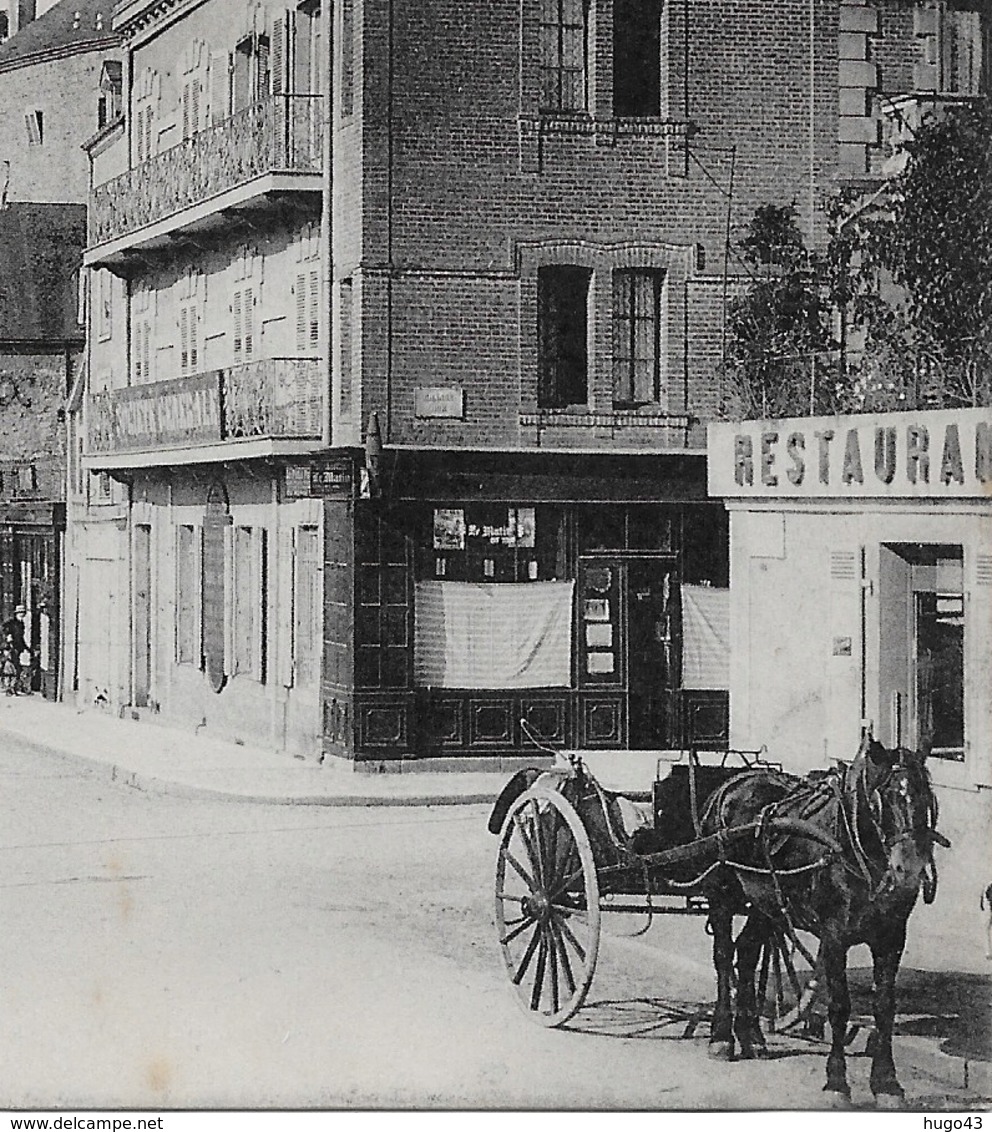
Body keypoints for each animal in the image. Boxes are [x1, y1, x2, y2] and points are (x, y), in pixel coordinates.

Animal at [697, 729, 946, 1109]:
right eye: (883, 798)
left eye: (927, 797)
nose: (909, 869)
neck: (851, 846)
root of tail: (734, 782)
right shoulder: (834, 935)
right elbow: (840, 1007)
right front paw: (837, 1082)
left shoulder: (892, 937)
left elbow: (885, 1008)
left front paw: (887, 1083)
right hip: (722, 894)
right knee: (725, 956)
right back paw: (722, 1037)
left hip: (765, 903)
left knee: (749, 952)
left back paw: (752, 1036)